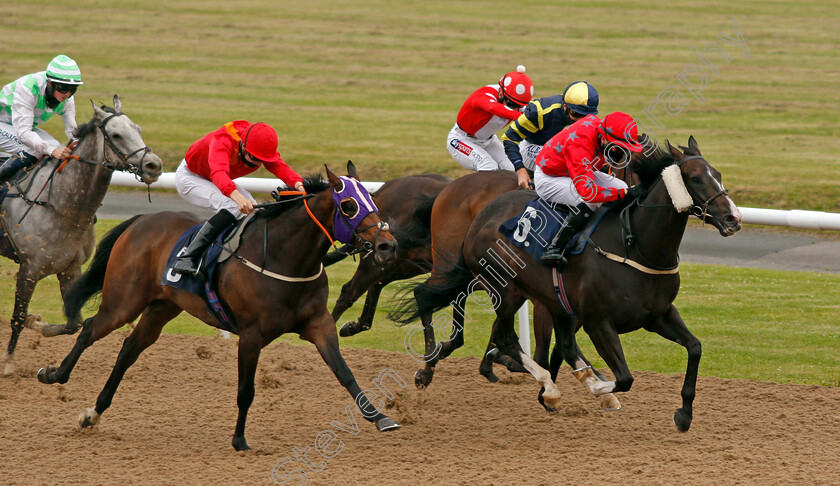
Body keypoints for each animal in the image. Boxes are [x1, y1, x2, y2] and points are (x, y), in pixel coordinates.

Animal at [0, 95, 162, 376]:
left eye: (138, 129)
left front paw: (36, 322)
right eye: (116, 135)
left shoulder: (70, 268)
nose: (154, 165)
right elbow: (17, 317)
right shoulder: (29, 269)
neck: (62, 206)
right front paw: (8, 362)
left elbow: (72, 323)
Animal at [40, 164, 404, 452]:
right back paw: (54, 374)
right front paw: (239, 440)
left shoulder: (319, 324)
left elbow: (344, 372)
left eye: (373, 200)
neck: (285, 257)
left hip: (162, 306)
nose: (388, 246)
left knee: (129, 349)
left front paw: (380, 417)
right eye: (348, 206)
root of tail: (141, 221)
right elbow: (246, 390)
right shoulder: (251, 335)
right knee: (90, 329)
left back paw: (94, 413)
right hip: (124, 301)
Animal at [398, 139, 740, 430]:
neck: (635, 245)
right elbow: (625, 377)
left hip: (551, 300)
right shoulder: (598, 322)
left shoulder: (659, 315)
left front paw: (683, 415)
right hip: (504, 289)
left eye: (718, 174)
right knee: (502, 333)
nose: (733, 218)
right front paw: (597, 386)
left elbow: (694, 348)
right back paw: (547, 386)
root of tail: (481, 213)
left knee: (558, 343)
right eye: (695, 178)